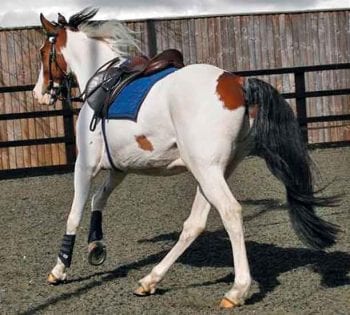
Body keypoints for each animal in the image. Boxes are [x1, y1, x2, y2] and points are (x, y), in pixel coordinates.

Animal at [32, 8, 340, 310]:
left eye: (42, 52)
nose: (39, 93)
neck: (101, 82)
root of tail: (238, 83)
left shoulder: (84, 165)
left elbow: (74, 214)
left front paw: (59, 269)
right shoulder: (119, 169)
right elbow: (99, 199)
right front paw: (96, 248)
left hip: (206, 170)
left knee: (230, 212)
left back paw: (237, 290)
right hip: (212, 171)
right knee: (195, 224)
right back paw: (150, 280)